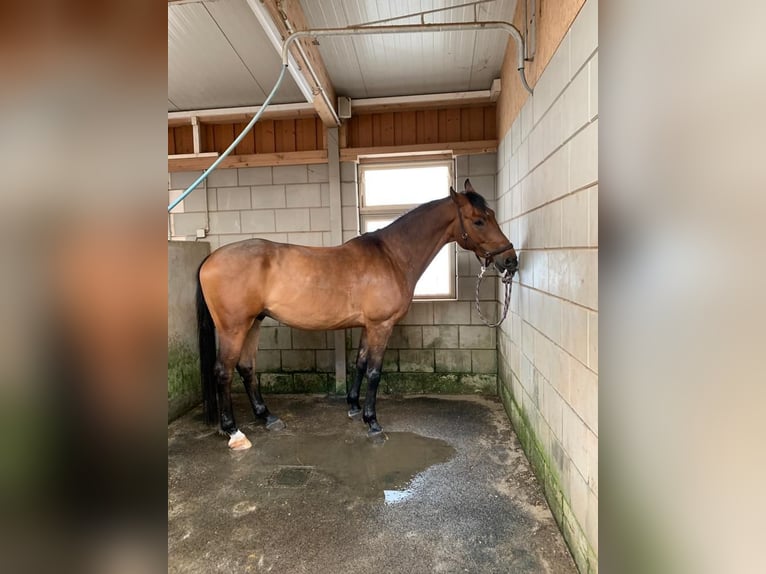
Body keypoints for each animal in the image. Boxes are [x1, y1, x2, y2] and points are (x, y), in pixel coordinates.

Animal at [198, 179, 520, 450]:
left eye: (491, 215)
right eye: (479, 220)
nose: (510, 260)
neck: (391, 256)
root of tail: (210, 258)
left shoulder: (368, 326)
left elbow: (361, 363)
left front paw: (353, 407)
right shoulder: (381, 326)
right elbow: (375, 371)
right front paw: (372, 422)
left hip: (253, 323)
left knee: (246, 368)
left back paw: (267, 417)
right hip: (234, 328)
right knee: (224, 371)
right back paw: (234, 431)